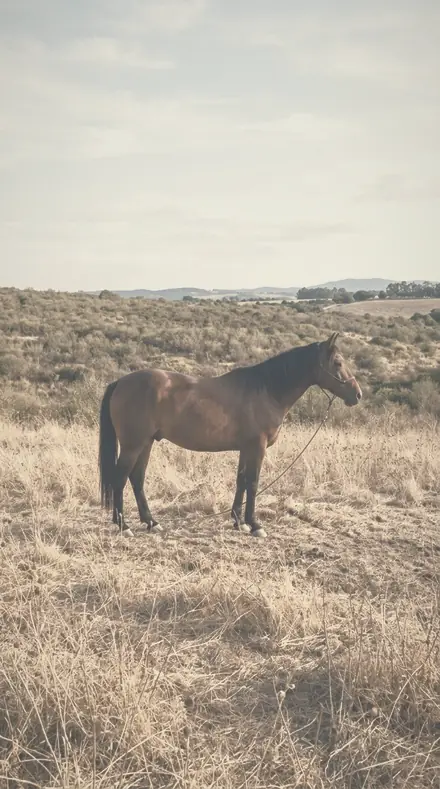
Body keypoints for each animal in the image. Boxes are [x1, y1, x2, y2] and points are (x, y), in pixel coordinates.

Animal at [98, 332, 362, 538]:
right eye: (338, 362)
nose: (357, 394)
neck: (267, 390)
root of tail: (121, 382)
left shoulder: (246, 448)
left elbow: (241, 481)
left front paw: (238, 521)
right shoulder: (257, 447)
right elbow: (253, 483)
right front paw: (255, 525)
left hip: (146, 443)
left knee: (137, 478)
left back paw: (151, 522)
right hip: (133, 445)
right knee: (120, 479)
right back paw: (124, 525)